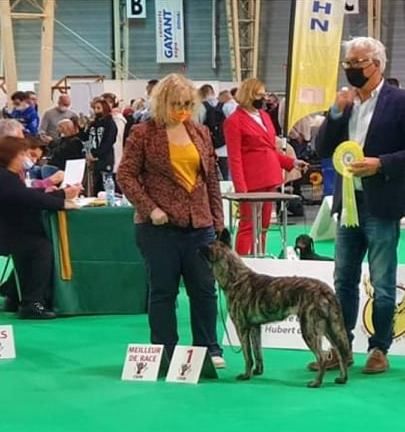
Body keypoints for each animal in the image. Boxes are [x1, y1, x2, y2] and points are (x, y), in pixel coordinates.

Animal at [200, 230, 350, 388]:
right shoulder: (255, 328)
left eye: (207, 246)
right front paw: (257, 371)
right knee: (341, 352)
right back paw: (342, 378)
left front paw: (246, 375)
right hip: (330, 329)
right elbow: (258, 353)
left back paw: (316, 382)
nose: (198, 247)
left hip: (309, 330)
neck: (234, 277)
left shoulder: (242, 328)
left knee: (322, 357)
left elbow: (248, 356)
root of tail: (325, 290)